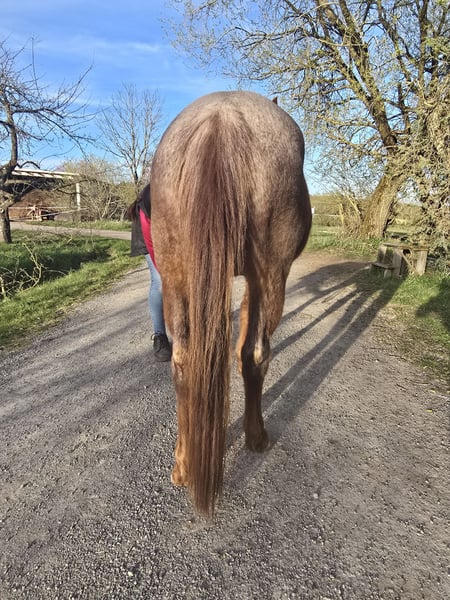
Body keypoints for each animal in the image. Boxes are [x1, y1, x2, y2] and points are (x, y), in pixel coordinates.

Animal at [150, 91, 311, 516]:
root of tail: (221, 119)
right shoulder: (260, 277)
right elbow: (248, 350)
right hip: (271, 273)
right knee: (256, 353)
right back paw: (255, 437)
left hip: (176, 273)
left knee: (184, 362)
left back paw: (183, 466)